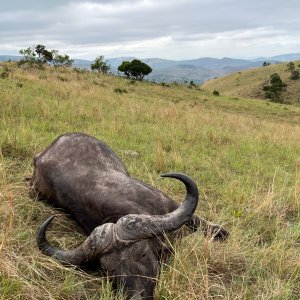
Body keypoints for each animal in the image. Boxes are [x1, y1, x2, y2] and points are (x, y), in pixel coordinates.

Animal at [31, 132, 227, 298]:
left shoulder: (170, 203)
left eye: (143, 254)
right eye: (109, 270)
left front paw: (221, 232)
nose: (134, 296)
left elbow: (196, 220)